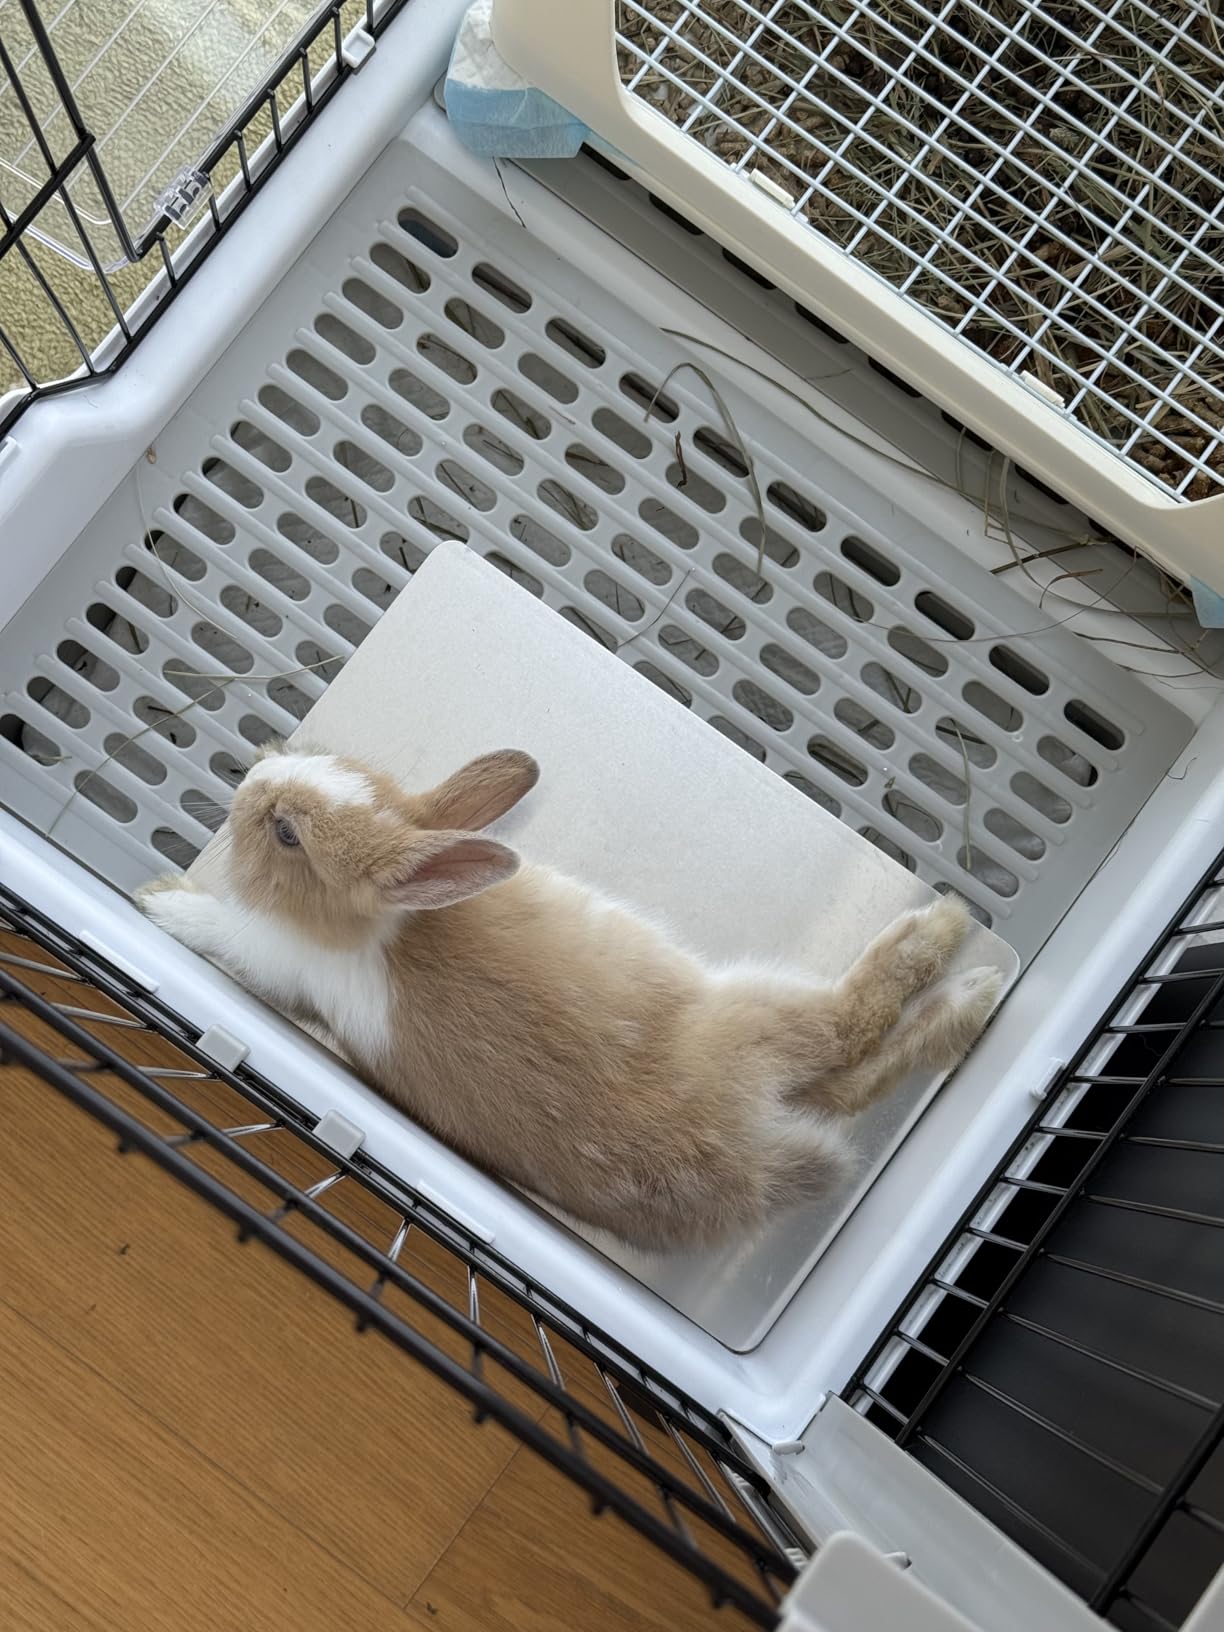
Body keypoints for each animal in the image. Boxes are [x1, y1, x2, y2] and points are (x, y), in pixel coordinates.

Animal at [135, 744, 1003, 1252]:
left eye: (287, 833)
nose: (251, 776)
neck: (367, 923)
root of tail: (749, 1151)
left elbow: (219, 929)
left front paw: (159, 903)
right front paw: (161, 897)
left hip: (751, 1005)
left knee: (853, 1027)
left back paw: (948, 937)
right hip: (763, 1024)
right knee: (853, 1068)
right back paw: (970, 982)